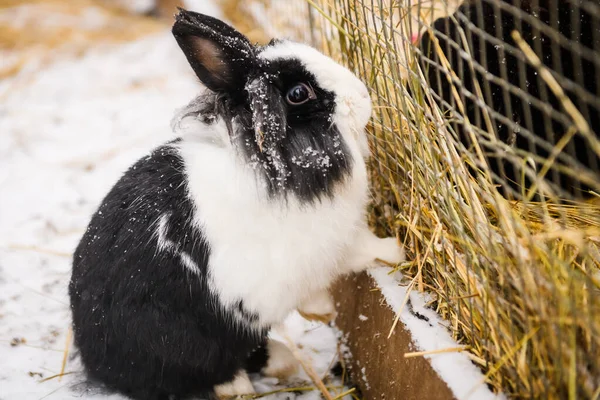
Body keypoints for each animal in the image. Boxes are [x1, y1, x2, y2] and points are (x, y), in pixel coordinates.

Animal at [70, 8, 406, 400]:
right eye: (298, 93)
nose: (363, 96)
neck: (273, 165)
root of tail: (96, 361)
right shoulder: (328, 246)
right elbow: (364, 251)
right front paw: (396, 250)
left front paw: (323, 311)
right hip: (192, 343)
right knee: (211, 371)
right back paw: (252, 378)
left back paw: (282, 360)